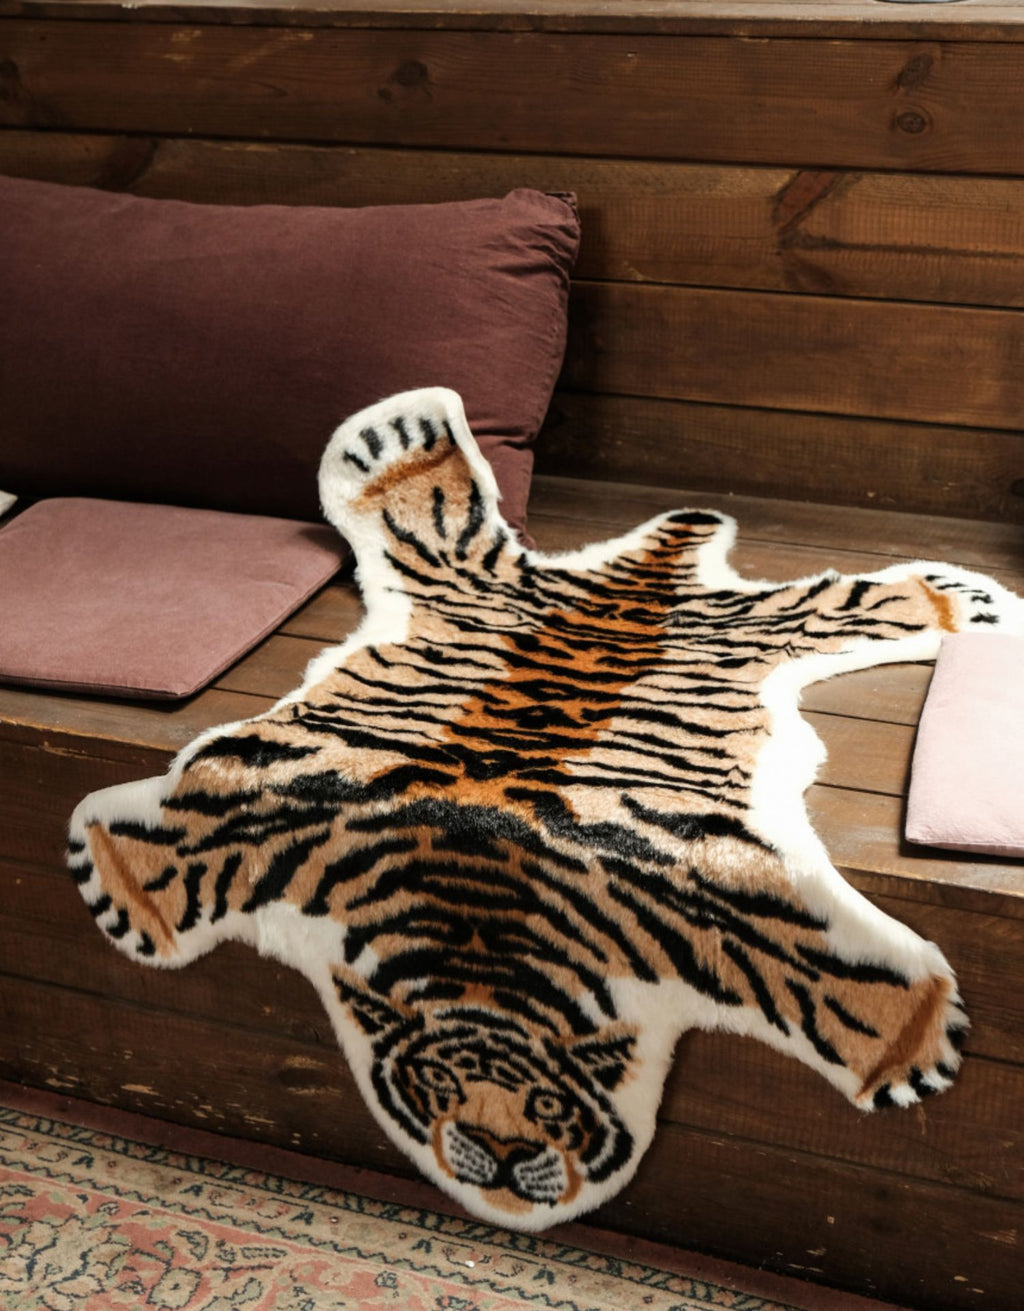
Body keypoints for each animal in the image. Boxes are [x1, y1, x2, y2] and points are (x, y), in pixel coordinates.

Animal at [68, 385, 1023, 1230]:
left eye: (547, 1106)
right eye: (440, 1087)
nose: (497, 1153)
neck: (482, 927)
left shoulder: (708, 897)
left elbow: (817, 950)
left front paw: (909, 1039)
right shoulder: (302, 811)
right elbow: (194, 825)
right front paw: (122, 882)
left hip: (752, 628)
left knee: (838, 599)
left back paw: (963, 598)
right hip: (483, 590)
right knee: (442, 532)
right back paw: (405, 444)